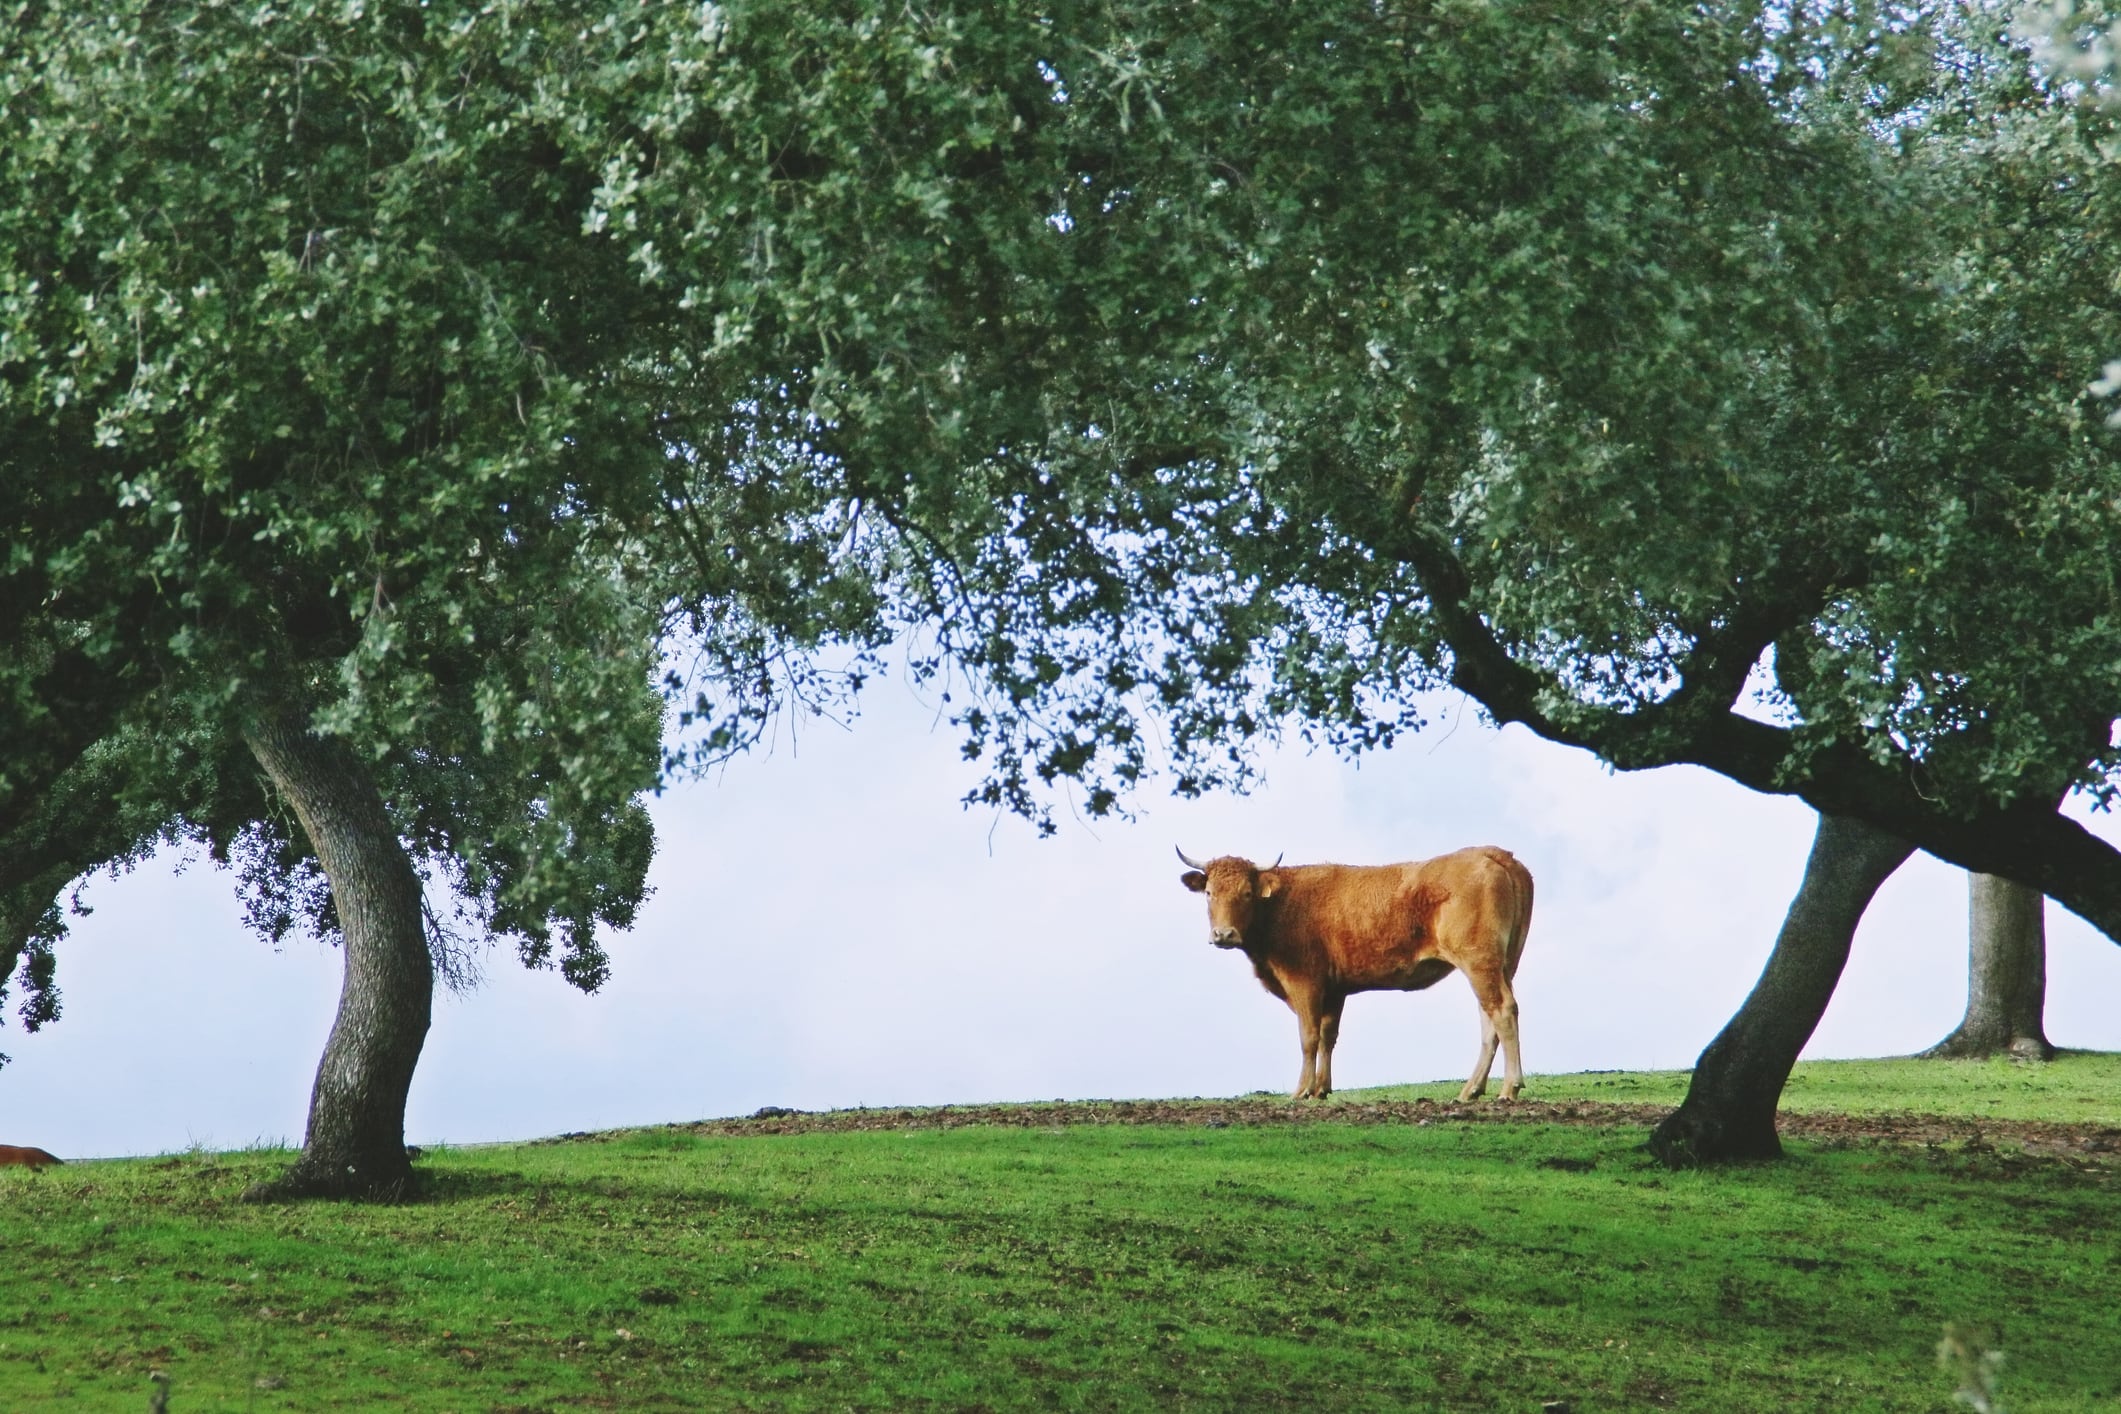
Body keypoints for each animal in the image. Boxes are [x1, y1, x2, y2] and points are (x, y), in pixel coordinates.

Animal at [1187, 847, 1535, 1102]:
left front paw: (1301, 1091)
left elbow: (1308, 1037)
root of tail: (1492, 852)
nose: (1224, 934)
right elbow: (1328, 1036)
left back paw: (1509, 1088)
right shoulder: (1334, 990)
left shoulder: (1305, 983)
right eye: (1209, 892)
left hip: (1479, 962)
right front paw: (1321, 1089)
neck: (1282, 905)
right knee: (1488, 1019)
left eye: (1247, 893)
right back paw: (1471, 1090)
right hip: (1502, 964)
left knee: (1502, 1011)